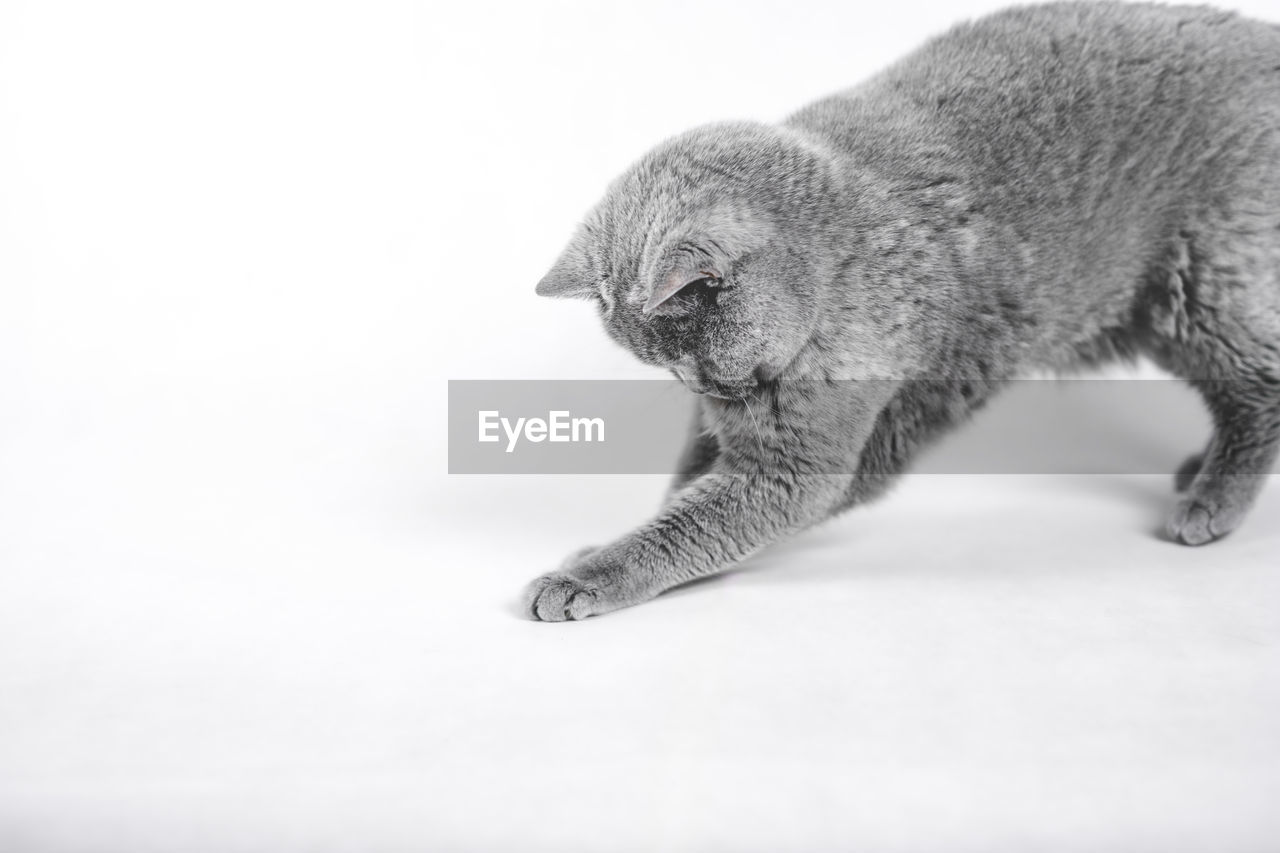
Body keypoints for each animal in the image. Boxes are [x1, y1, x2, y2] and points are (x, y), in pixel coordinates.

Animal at [522, 3, 1280, 622]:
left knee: (1260, 386)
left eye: (693, 358)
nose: (705, 387)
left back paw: (1211, 500)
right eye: (671, 372)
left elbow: (700, 519)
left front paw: (585, 576)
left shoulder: (798, 455)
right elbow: (691, 485)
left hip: (1201, 281)